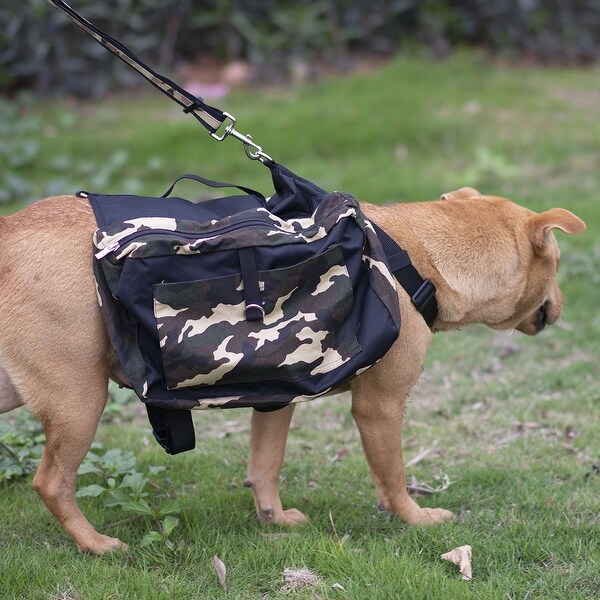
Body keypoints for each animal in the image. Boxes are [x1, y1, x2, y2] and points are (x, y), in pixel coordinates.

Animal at [0, 189, 584, 552]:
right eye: (557, 266)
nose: (561, 306)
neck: (414, 256)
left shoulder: (276, 397)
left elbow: (265, 466)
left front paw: (274, 521)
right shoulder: (380, 408)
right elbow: (393, 476)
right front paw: (414, 519)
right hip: (79, 402)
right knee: (52, 482)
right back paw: (96, 545)